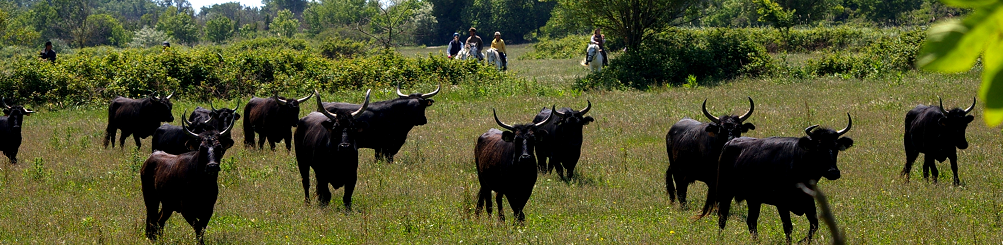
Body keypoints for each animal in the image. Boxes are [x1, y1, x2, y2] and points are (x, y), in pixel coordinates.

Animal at [702, 114, 858, 242]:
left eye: (836, 148)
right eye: (818, 148)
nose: (833, 172)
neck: (799, 162)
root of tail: (730, 143)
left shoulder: (808, 201)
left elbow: (814, 225)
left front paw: (802, 241)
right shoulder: (782, 203)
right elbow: (788, 227)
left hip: (754, 199)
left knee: (751, 221)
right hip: (725, 192)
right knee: (722, 217)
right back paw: (720, 238)